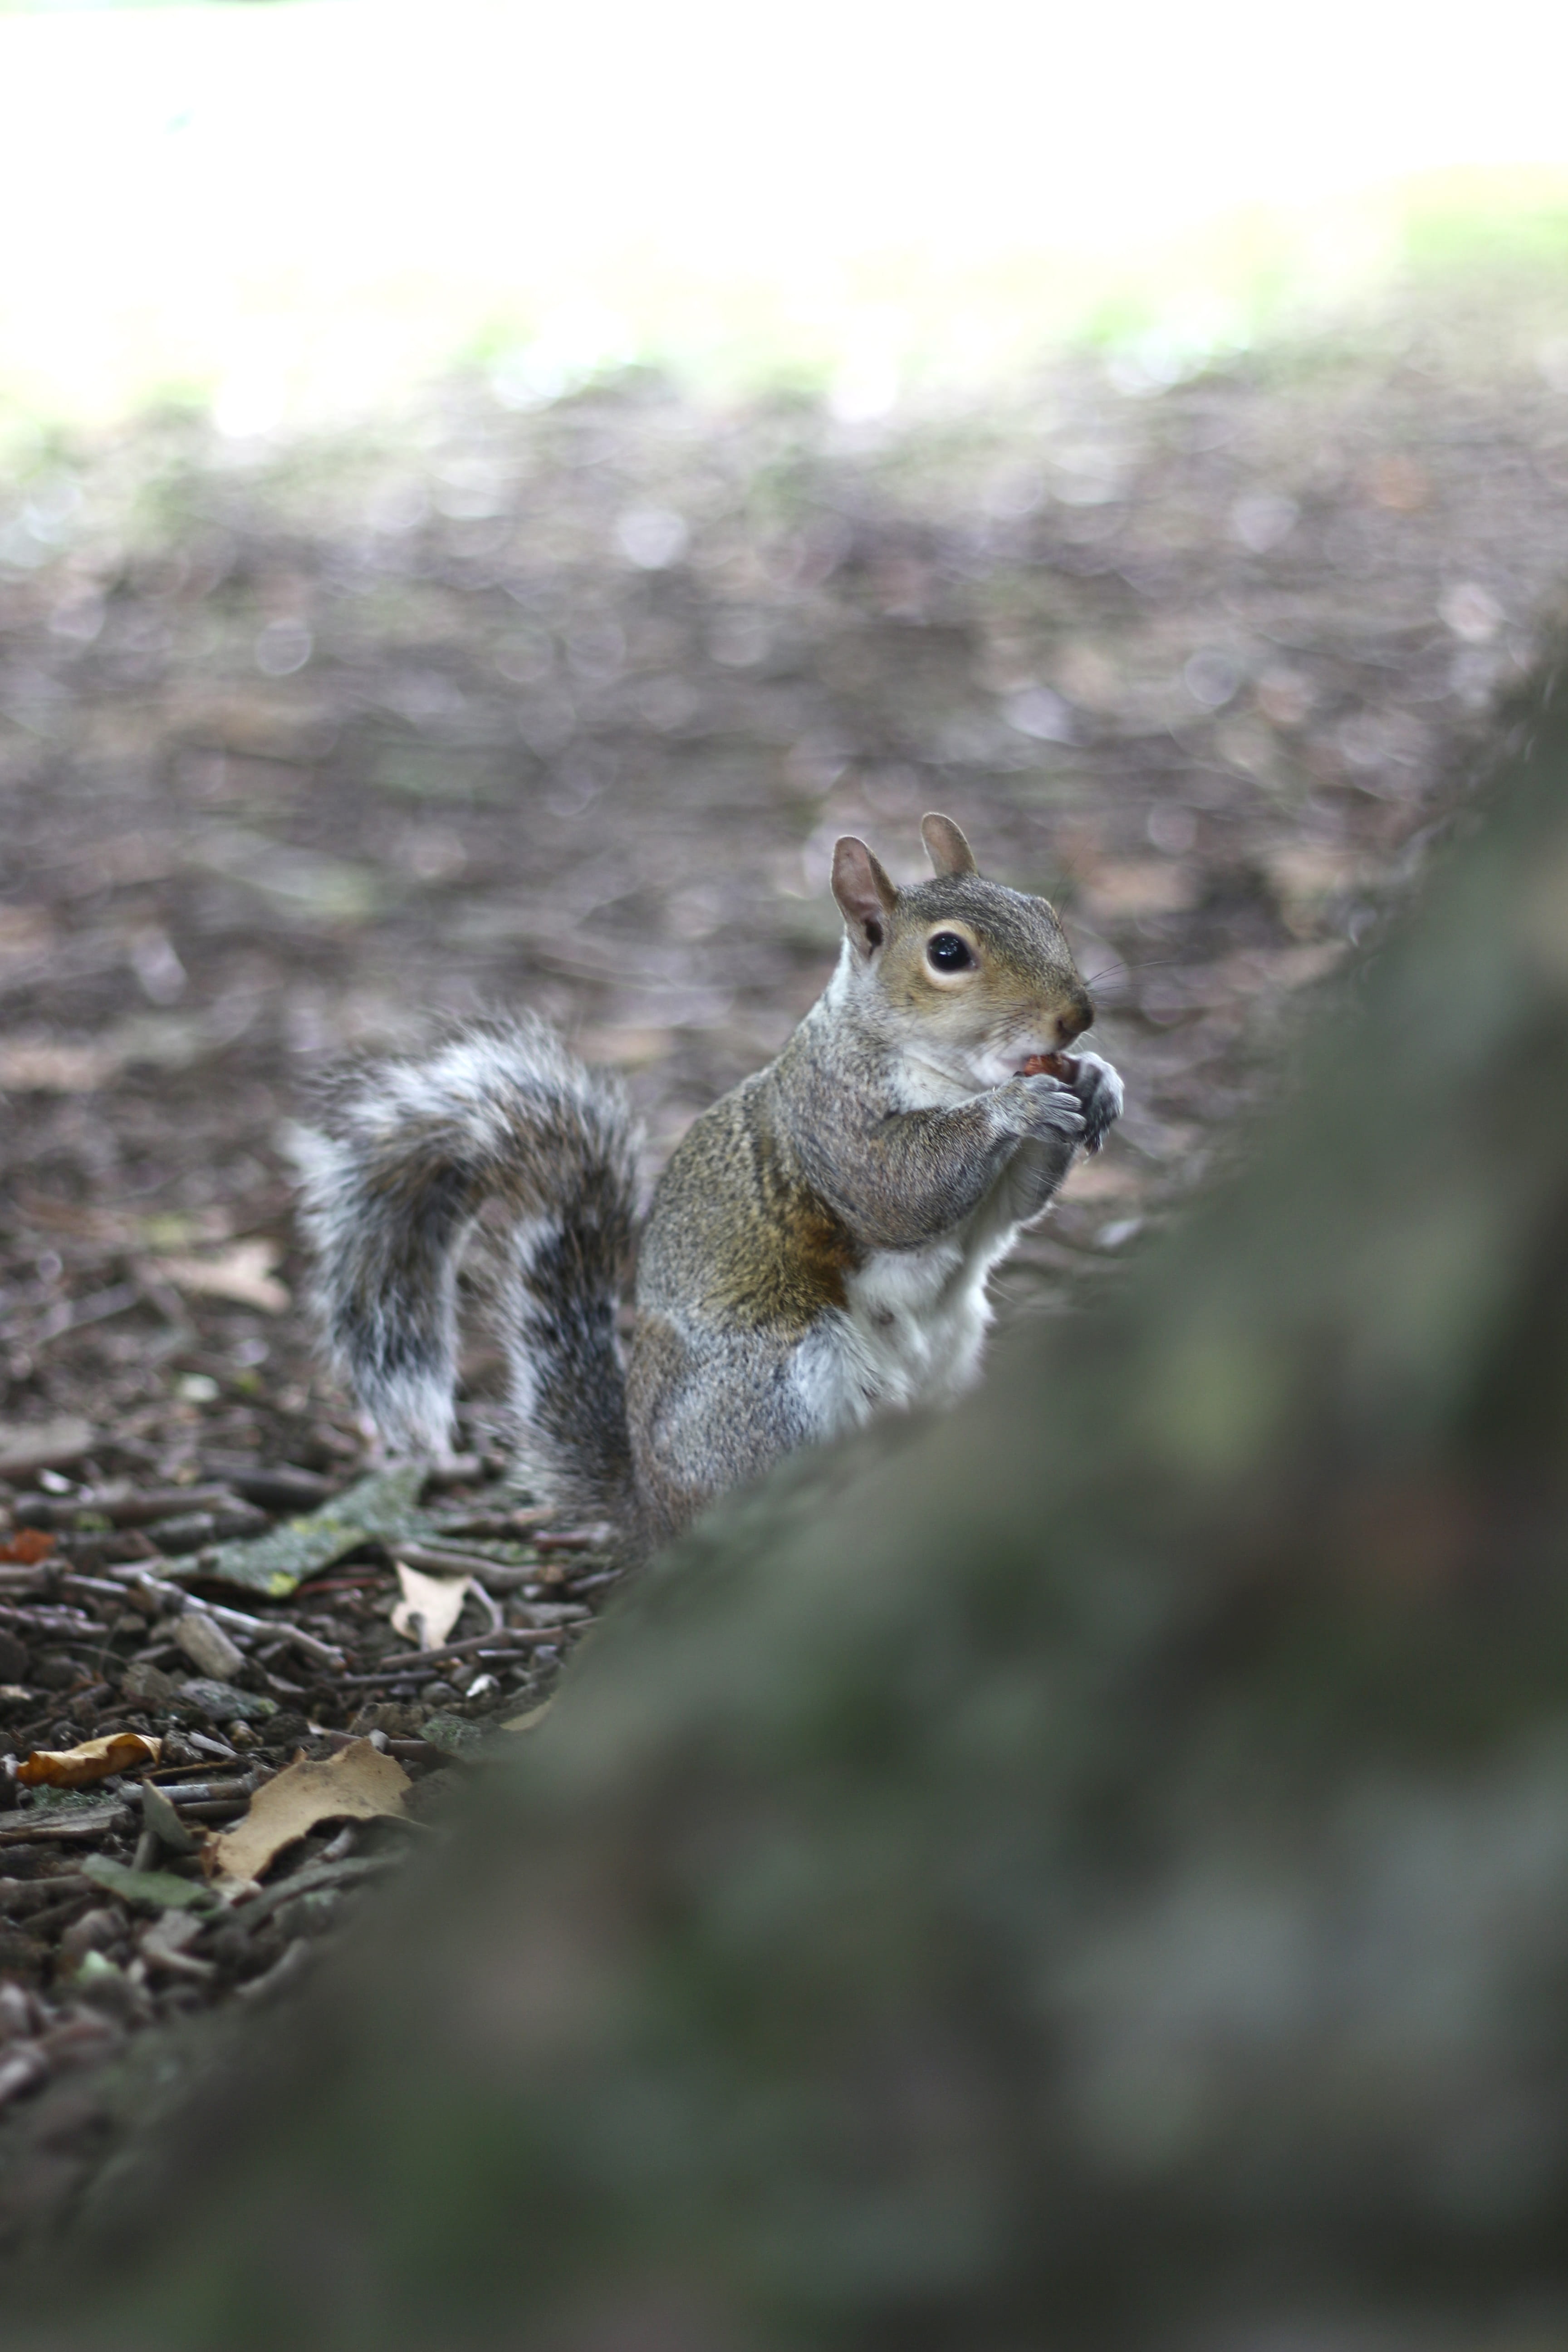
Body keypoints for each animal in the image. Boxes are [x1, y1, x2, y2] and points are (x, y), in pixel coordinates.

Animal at [296, 813, 1123, 1559]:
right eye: (947, 952)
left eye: (1045, 909)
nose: (1077, 1016)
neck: (950, 1072)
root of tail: (652, 1509)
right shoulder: (833, 1127)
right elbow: (902, 1192)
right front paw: (1016, 1106)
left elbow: (1013, 1208)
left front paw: (1098, 1080)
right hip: (771, 1391)